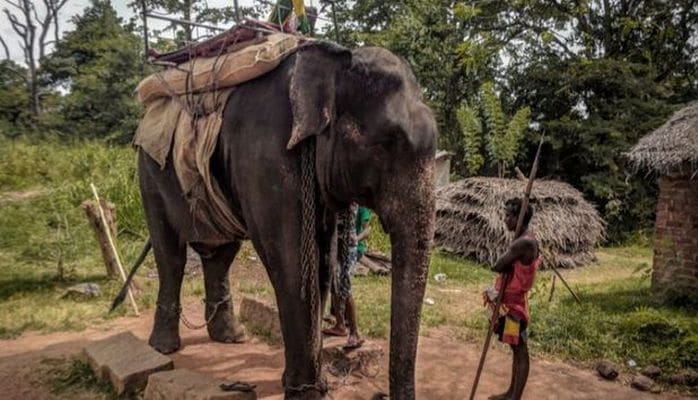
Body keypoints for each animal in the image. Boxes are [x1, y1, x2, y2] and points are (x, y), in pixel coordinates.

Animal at [136, 42, 436, 398]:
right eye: (386, 143)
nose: (382, 393)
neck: (335, 60)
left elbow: (321, 262)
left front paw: (311, 385)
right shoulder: (267, 155)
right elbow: (290, 258)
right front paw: (305, 391)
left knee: (221, 254)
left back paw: (231, 337)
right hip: (150, 175)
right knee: (170, 254)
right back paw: (164, 348)